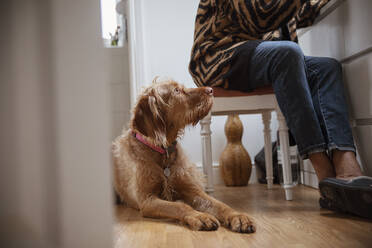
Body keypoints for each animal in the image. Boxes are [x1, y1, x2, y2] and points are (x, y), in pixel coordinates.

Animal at [112, 79, 254, 232]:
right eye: (176, 91)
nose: (211, 90)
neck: (163, 152)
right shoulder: (147, 200)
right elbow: (179, 206)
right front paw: (200, 216)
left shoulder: (193, 191)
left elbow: (219, 204)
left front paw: (238, 216)